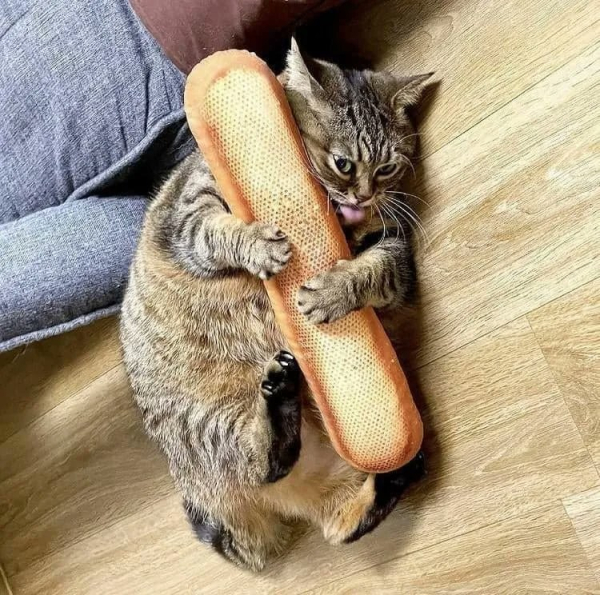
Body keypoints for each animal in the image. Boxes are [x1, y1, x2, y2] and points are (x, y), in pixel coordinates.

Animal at [120, 42, 432, 572]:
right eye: (343, 163)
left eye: (387, 168)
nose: (364, 195)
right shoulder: (185, 219)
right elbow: (216, 232)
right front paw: (260, 247)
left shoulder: (394, 252)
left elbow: (372, 272)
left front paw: (332, 292)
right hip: (211, 423)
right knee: (262, 465)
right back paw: (280, 396)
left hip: (325, 474)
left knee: (339, 522)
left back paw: (395, 470)